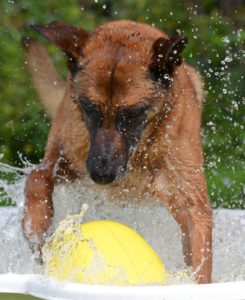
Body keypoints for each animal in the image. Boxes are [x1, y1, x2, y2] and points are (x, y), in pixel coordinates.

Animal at [21, 19, 212, 282]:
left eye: (132, 114)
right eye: (90, 109)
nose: (102, 175)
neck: (139, 153)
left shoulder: (190, 203)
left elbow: (199, 255)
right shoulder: (68, 159)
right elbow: (37, 178)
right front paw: (37, 229)